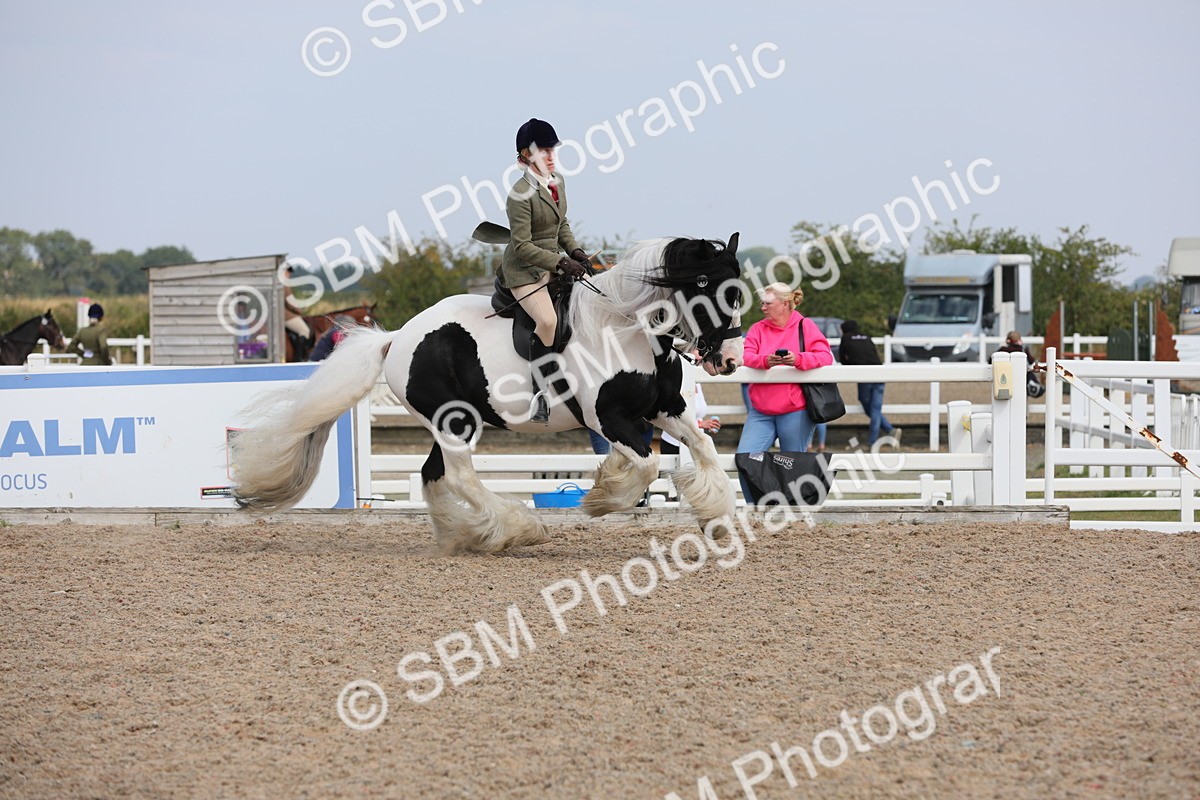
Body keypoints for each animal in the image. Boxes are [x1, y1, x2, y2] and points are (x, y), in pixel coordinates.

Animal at [232, 234, 746, 553]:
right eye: (706, 284)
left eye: (738, 289)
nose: (729, 360)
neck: (623, 328)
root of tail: (396, 338)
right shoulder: (607, 418)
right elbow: (645, 463)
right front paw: (600, 498)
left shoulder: (665, 407)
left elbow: (703, 446)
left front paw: (715, 513)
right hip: (454, 421)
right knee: (459, 477)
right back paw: (516, 529)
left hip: (453, 423)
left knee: (434, 475)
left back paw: (467, 535)